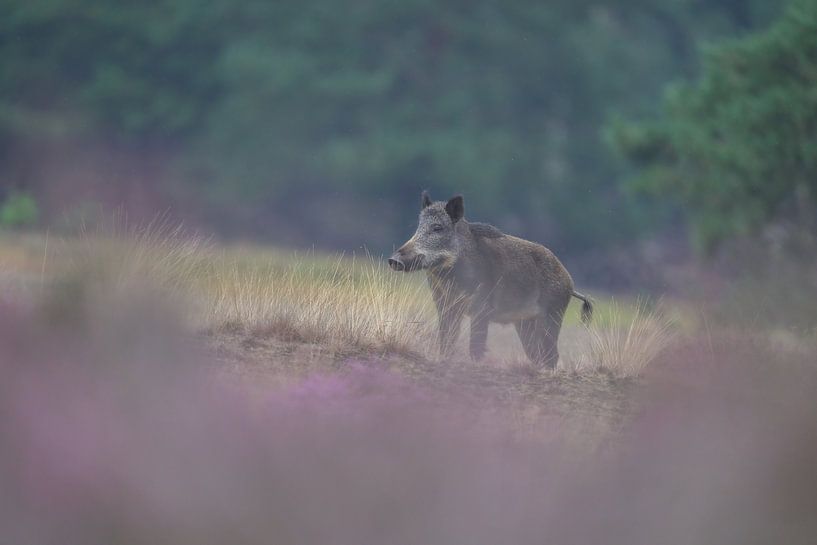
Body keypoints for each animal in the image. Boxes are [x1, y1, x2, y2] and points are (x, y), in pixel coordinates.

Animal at [388, 191, 592, 369]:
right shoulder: (444, 304)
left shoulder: (482, 306)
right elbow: (447, 340)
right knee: (537, 354)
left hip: (552, 314)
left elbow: (476, 345)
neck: (449, 273)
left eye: (437, 227)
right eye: (418, 226)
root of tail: (570, 283)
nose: (393, 260)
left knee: (551, 355)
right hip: (525, 322)